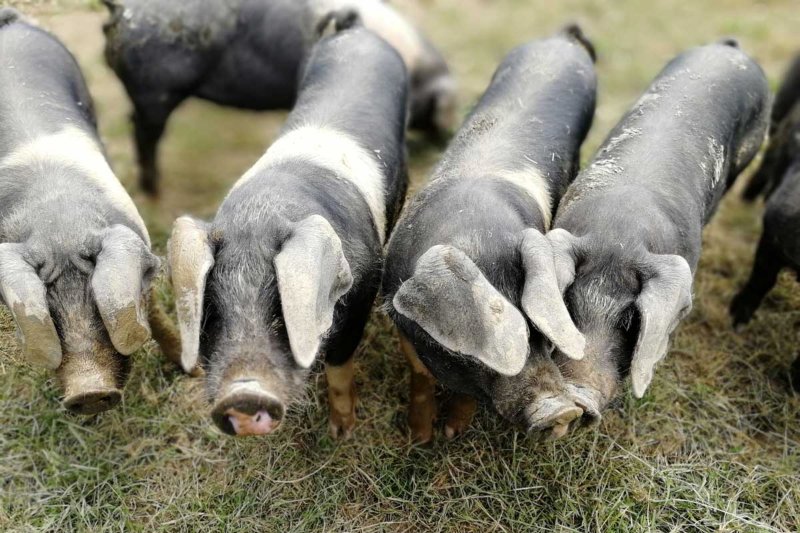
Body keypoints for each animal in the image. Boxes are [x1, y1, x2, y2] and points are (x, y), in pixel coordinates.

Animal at [0, 10, 181, 414]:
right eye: (50, 313)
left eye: (99, 306)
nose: (89, 392)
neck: (59, 225)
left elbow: (156, 316)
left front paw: (186, 370)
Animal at [167, 20, 408, 438]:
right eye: (211, 310)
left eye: (281, 308)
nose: (244, 396)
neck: (261, 214)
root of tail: (358, 31)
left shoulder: (362, 293)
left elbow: (339, 365)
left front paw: (342, 432)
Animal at [382, 26, 598, 443]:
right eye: (483, 349)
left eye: (542, 334)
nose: (562, 410)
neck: (475, 230)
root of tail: (562, 40)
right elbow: (419, 376)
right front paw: (420, 438)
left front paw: (453, 432)